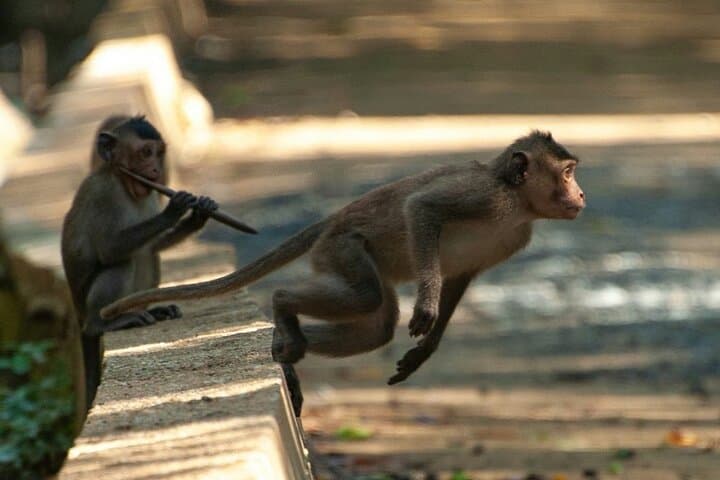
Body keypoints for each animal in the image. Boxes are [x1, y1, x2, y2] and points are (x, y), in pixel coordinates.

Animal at [61, 115, 218, 409]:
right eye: (146, 152)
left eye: (159, 152)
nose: (156, 169)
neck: (125, 183)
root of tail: (78, 314)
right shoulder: (104, 194)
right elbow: (109, 250)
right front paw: (175, 208)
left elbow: (155, 245)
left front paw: (199, 214)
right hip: (88, 310)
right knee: (123, 262)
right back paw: (105, 323)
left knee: (148, 255)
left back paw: (154, 311)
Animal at [101, 130, 585, 407]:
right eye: (566, 173)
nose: (580, 195)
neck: (517, 203)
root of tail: (331, 220)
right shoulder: (485, 196)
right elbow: (421, 208)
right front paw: (427, 307)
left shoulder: (514, 236)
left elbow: (460, 277)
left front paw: (426, 348)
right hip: (343, 248)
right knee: (365, 297)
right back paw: (283, 309)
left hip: (341, 257)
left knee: (377, 324)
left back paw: (284, 345)